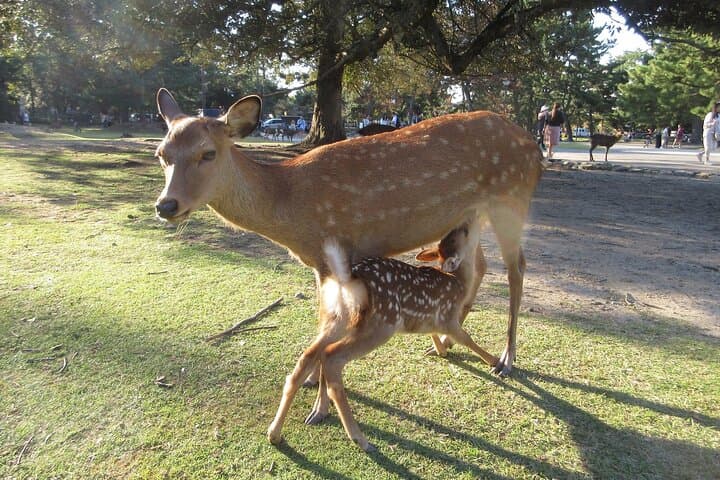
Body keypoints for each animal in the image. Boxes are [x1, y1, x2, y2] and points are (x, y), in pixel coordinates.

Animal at [153, 88, 544, 378]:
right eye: (162, 153)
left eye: (208, 153)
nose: (166, 205)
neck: (287, 205)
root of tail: (533, 145)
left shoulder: (331, 249)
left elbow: (329, 317)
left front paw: (313, 381)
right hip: (470, 214)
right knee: (479, 266)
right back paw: (446, 341)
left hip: (512, 199)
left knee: (517, 268)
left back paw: (506, 359)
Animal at [267, 223, 498, 452]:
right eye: (463, 234)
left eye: (452, 236)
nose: (466, 223)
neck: (459, 282)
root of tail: (348, 280)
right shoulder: (448, 318)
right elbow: (467, 339)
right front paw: (494, 362)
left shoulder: (430, 320)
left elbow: (433, 333)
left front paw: (439, 351)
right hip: (381, 323)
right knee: (332, 356)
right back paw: (360, 439)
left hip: (336, 317)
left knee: (310, 355)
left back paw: (275, 433)